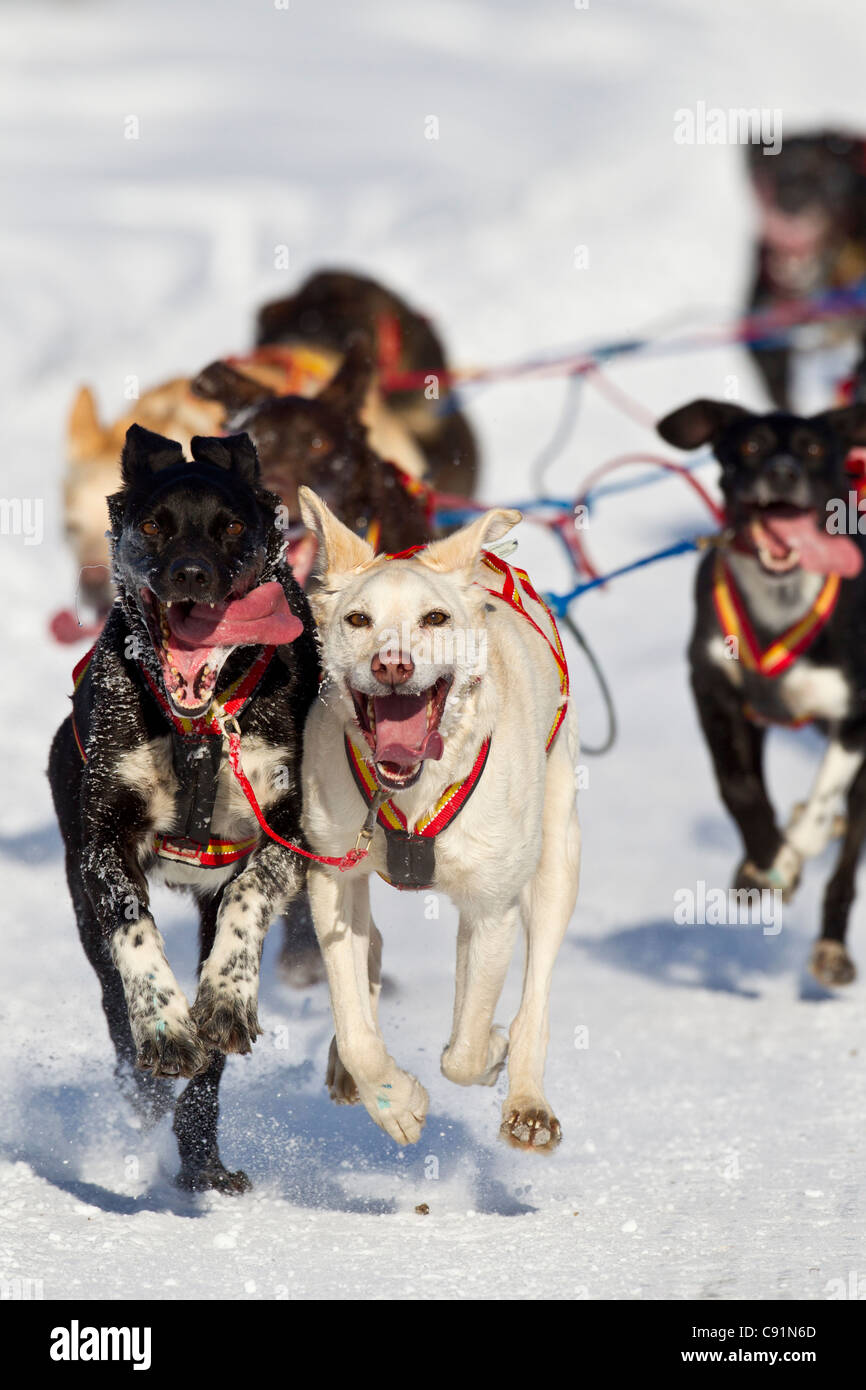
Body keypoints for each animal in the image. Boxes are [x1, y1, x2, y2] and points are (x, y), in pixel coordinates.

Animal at [48, 417, 318, 1189]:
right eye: (153, 525)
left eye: (230, 527)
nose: (190, 575)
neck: (198, 731)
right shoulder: (102, 843)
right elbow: (133, 931)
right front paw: (166, 1024)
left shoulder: (289, 833)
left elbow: (249, 895)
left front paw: (224, 999)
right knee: (114, 1004)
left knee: (210, 1066)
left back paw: (202, 1157)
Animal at [297, 489, 583, 1150]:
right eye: (358, 620)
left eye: (434, 619)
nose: (392, 665)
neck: (412, 795)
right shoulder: (333, 879)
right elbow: (355, 1022)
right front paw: (393, 1100)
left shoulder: (492, 907)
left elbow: (467, 1048)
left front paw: (491, 1052)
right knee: (369, 958)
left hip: (556, 860)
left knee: (535, 994)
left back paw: (527, 1096)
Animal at [656, 400, 866, 989]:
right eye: (750, 446)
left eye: (814, 449)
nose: (783, 473)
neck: (782, 604)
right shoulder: (714, 692)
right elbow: (740, 789)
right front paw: (764, 857)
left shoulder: (856, 717)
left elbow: (820, 810)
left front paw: (794, 848)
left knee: (847, 857)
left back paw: (831, 945)